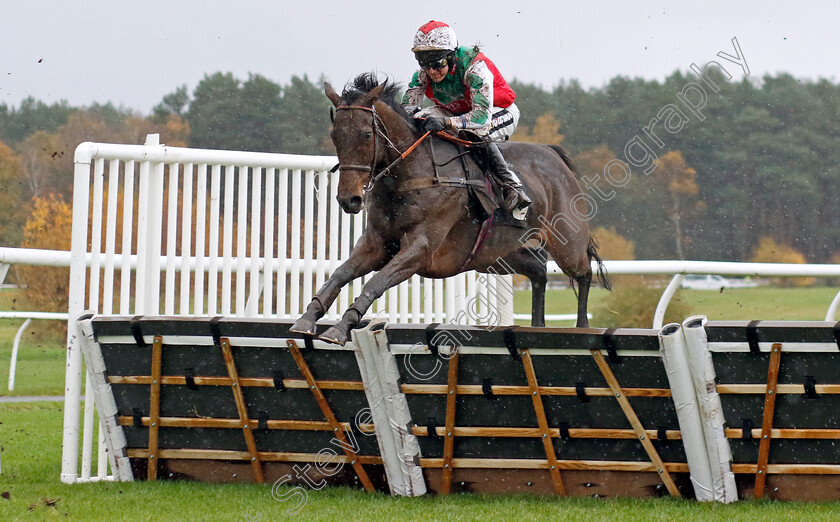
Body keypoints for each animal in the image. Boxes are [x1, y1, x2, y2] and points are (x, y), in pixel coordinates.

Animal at [292, 71, 608, 344]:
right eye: (335, 136)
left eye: (366, 135)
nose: (350, 199)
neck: (412, 172)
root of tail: (553, 155)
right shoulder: (377, 242)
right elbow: (340, 273)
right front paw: (307, 319)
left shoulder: (420, 248)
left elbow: (376, 282)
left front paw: (340, 328)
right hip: (497, 256)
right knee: (539, 271)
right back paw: (538, 325)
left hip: (566, 243)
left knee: (584, 272)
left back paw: (582, 327)